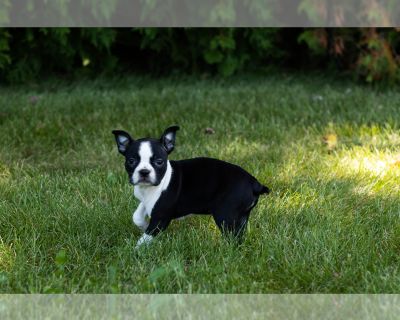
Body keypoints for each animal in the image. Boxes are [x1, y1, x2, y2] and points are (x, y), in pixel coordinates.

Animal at [111, 126, 270, 249]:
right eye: (131, 161)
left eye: (159, 162)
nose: (144, 172)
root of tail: (254, 182)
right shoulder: (146, 200)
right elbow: (137, 216)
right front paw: (143, 225)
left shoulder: (160, 218)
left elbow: (146, 237)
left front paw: (136, 251)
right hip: (241, 216)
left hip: (226, 215)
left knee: (234, 238)